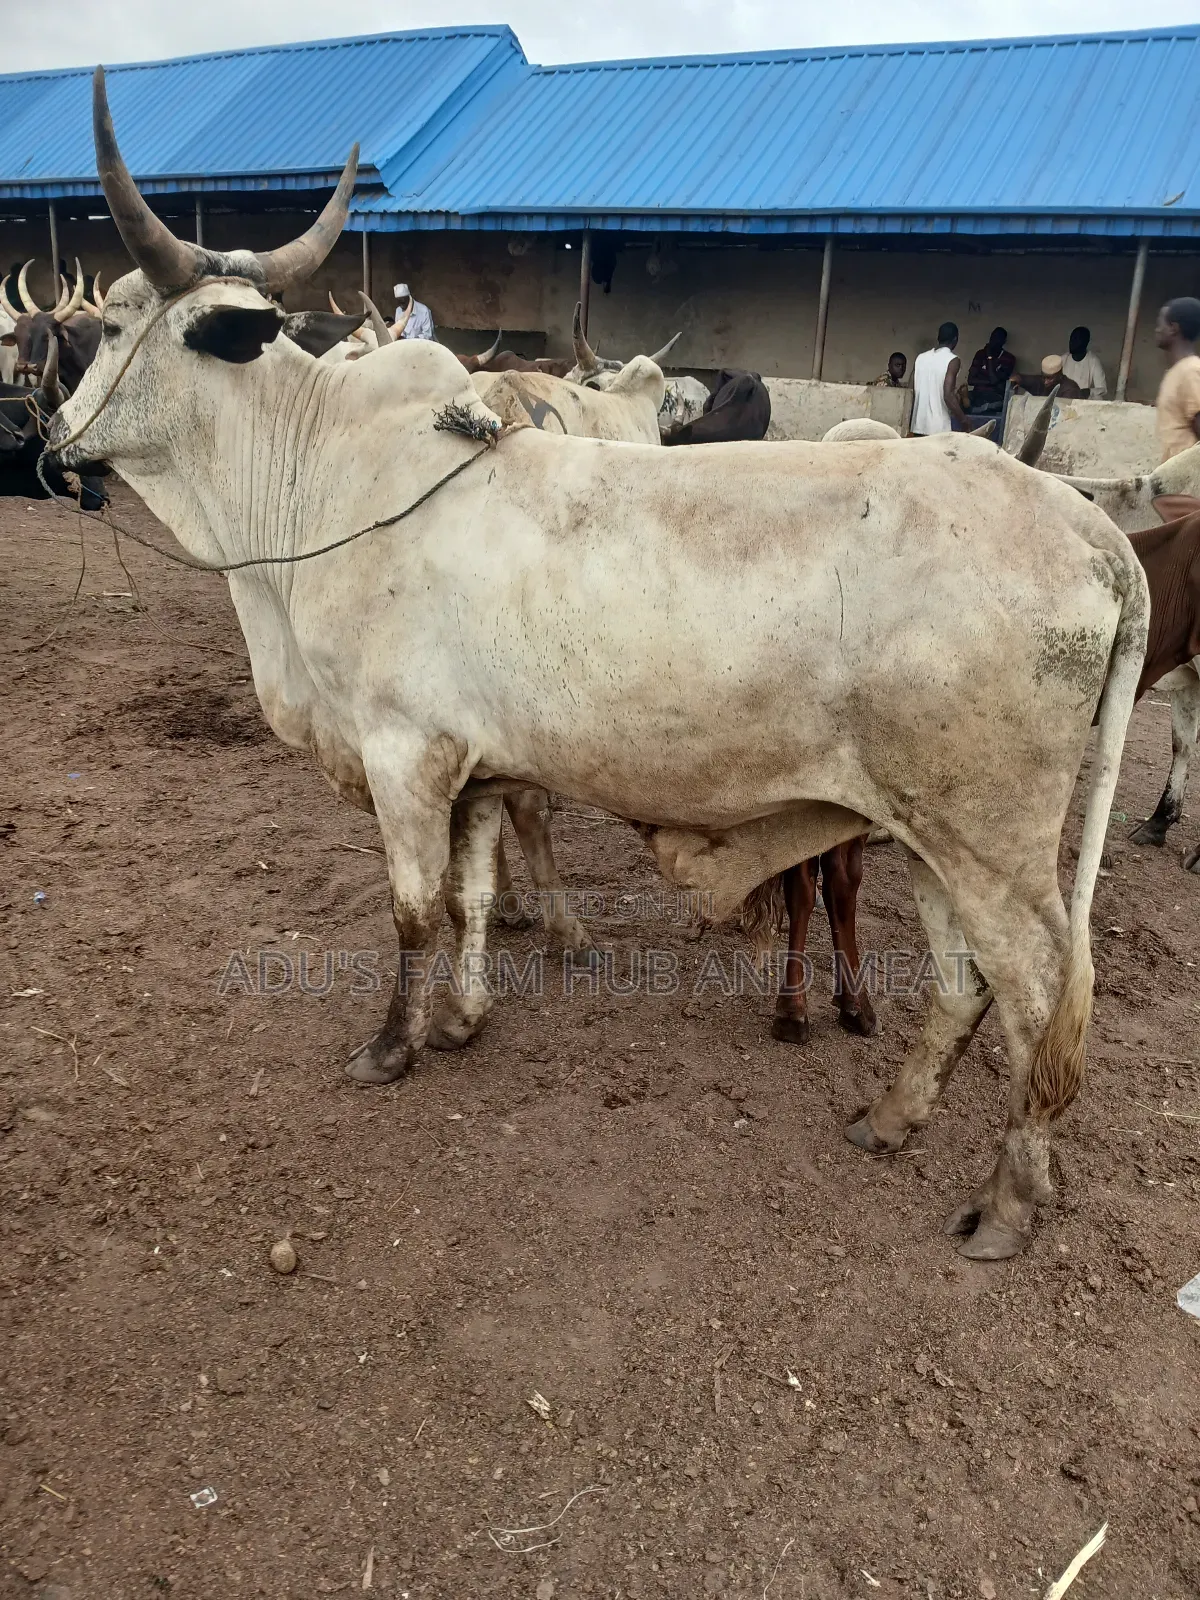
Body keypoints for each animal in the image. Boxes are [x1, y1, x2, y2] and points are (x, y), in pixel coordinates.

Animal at [49, 69, 1151, 1260]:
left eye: (114, 323)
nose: (51, 434)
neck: (317, 479)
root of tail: (1089, 525)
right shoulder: (476, 770)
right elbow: (477, 896)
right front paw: (464, 1019)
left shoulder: (401, 757)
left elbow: (414, 909)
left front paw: (391, 1046)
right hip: (934, 837)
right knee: (962, 984)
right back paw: (891, 1119)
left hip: (992, 843)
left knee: (1041, 989)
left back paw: (1010, 1199)